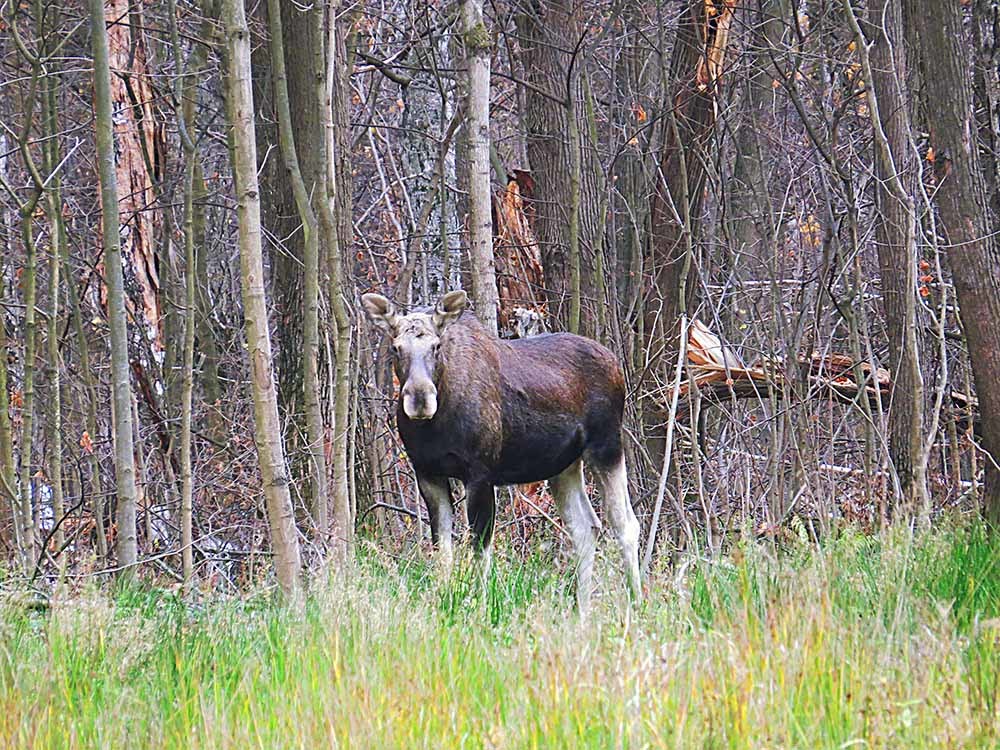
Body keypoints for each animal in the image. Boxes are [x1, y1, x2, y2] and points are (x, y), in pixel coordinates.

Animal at [362, 290, 640, 612]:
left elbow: (480, 551)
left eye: (436, 345)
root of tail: (617, 364)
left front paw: (480, 606)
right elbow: (443, 549)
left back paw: (637, 602)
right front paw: (443, 599)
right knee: (586, 528)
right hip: (564, 466)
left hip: (607, 446)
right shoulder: (428, 474)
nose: (420, 399)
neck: (434, 427)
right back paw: (581, 611)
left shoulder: (480, 474)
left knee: (625, 524)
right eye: (396, 348)